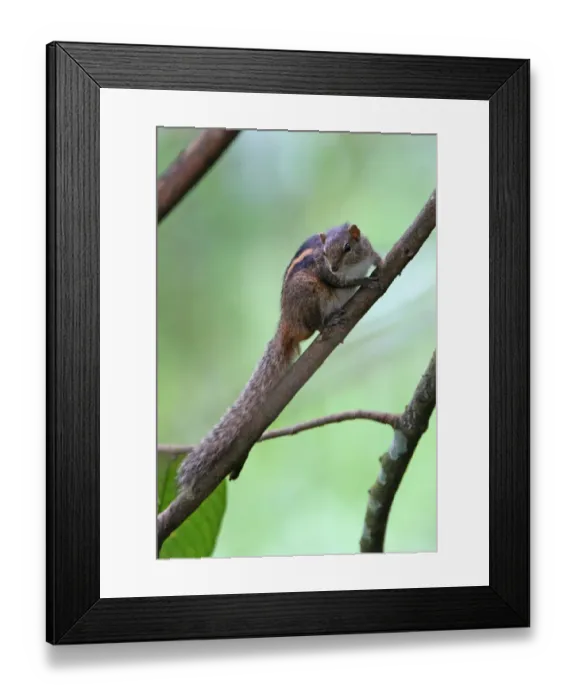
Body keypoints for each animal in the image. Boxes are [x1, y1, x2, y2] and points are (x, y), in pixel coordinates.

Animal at [176, 222, 384, 488]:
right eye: (325, 253)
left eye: (348, 247)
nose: (335, 267)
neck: (350, 265)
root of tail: (286, 321)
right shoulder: (325, 273)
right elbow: (339, 282)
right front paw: (363, 281)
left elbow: (372, 256)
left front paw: (379, 260)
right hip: (309, 292)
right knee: (316, 323)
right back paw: (328, 322)